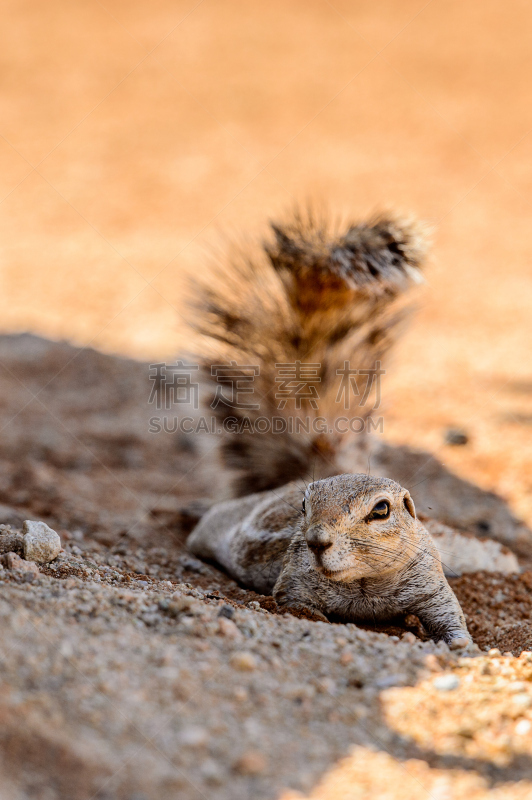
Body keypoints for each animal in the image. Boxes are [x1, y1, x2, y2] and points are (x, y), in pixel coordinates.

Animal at [187, 209, 474, 648]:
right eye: (304, 506)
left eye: (381, 510)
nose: (316, 541)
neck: (363, 583)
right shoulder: (294, 578)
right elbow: (293, 601)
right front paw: (314, 617)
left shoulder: (430, 584)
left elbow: (450, 616)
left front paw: (458, 643)